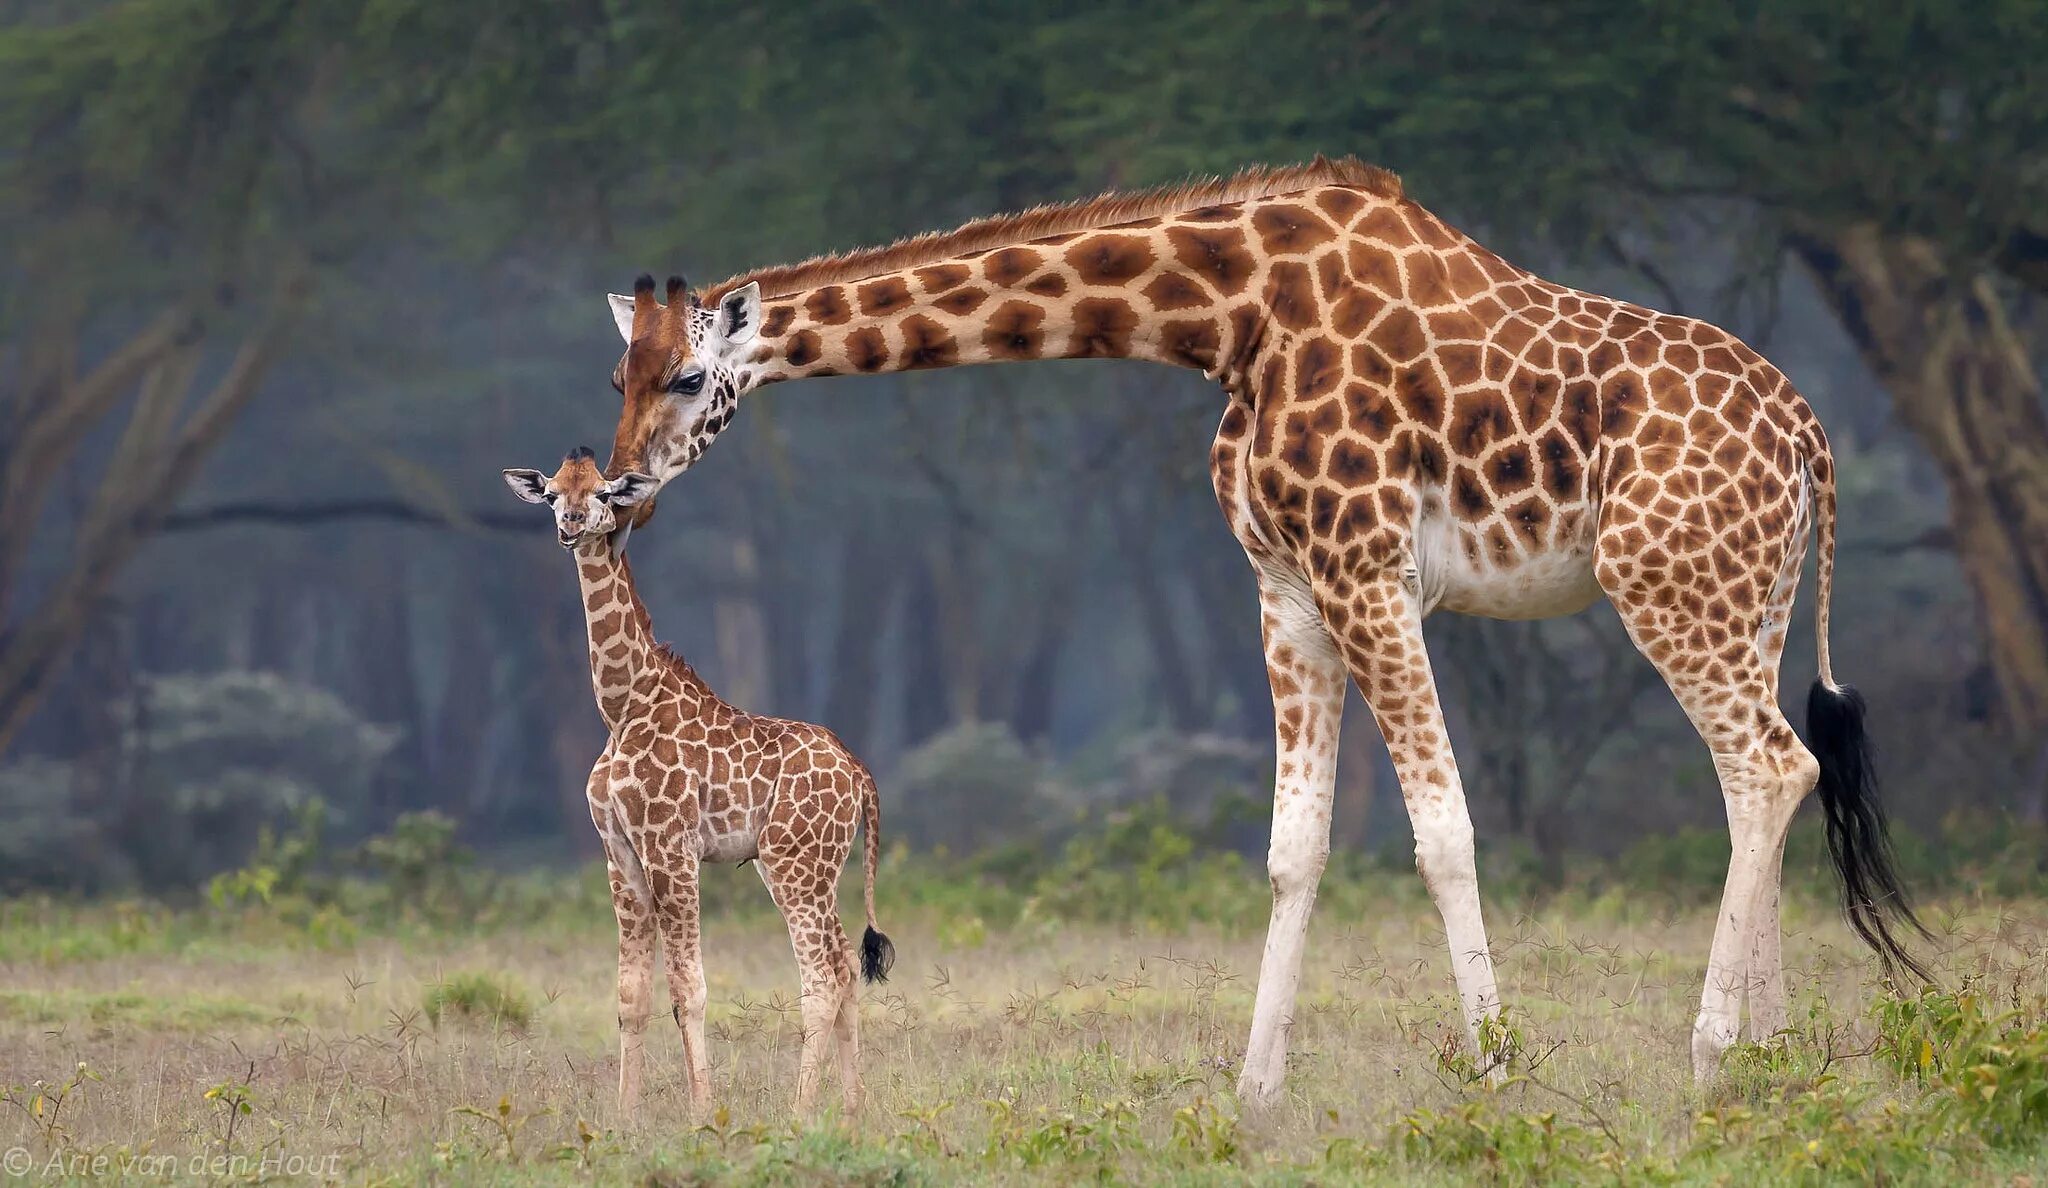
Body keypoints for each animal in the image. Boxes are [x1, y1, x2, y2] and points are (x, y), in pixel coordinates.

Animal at [499, 450, 892, 1122]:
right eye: (551, 493)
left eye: (602, 493)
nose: (571, 524)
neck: (623, 706)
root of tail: (860, 775)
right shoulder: (619, 852)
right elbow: (630, 995)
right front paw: (625, 1116)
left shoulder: (671, 847)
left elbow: (690, 988)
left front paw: (703, 1112)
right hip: (817, 868)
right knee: (844, 963)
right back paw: (852, 1109)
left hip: (793, 865)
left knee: (822, 975)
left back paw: (798, 1114)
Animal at [598, 157, 1916, 1106]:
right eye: (617, 378)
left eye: (684, 381)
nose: (617, 487)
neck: (1226, 316)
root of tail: (1810, 435)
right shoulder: (1284, 589)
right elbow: (1293, 848)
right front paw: (1253, 1093)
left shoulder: (1365, 568)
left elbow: (1442, 832)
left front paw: (1494, 1070)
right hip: (1743, 597)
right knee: (1766, 776)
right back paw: (1771, 1054)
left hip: (1666, 586)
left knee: (1765, 766)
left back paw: (1710, 1055)